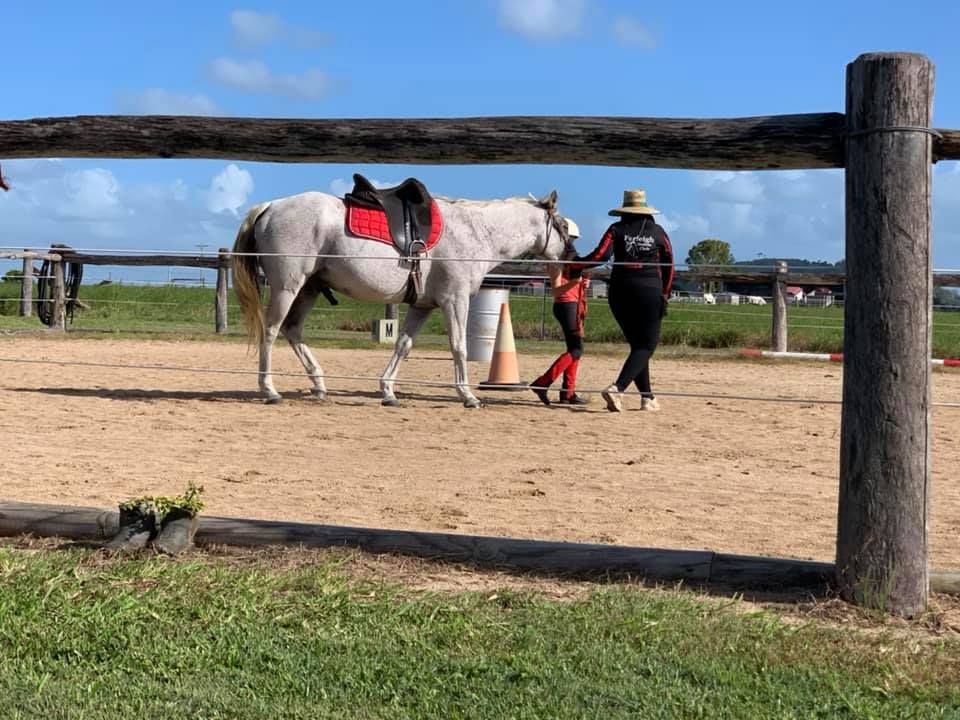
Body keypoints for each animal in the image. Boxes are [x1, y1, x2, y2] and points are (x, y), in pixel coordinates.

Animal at [230, 186, 574, 408]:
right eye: (561, 226)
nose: (573, 258)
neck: (475, 231)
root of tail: (271, 206)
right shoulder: (455, 300)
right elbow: (459, 347)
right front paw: (468, 396)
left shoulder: (422, 306)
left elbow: (403, 345)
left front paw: (388, 391)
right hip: (287, 288)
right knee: (271, 331)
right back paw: (269, 390)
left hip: (309, 289)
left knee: (293, 330)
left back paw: (318, 385)